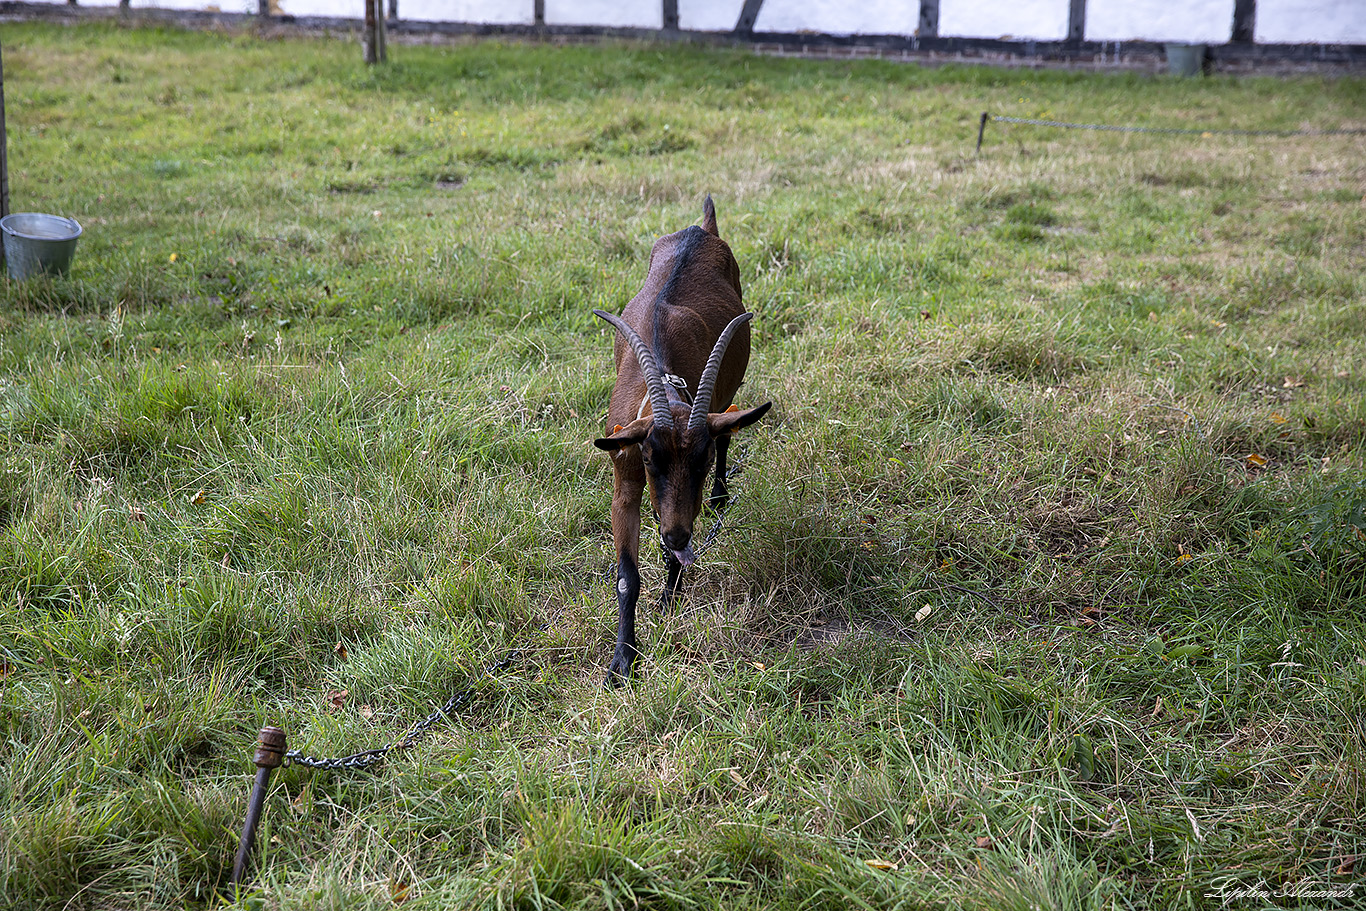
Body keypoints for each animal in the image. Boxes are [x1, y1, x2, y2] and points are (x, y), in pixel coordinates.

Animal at [592, 198, 775, 682]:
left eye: (701, 461)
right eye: (649, 459)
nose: (675, 535)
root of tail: (701, 227)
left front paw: (669, 597)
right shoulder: (625, 476)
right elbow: (626, 576)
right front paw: (623, 659)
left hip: (728, 387)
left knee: (729, 423)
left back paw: (720, 496)